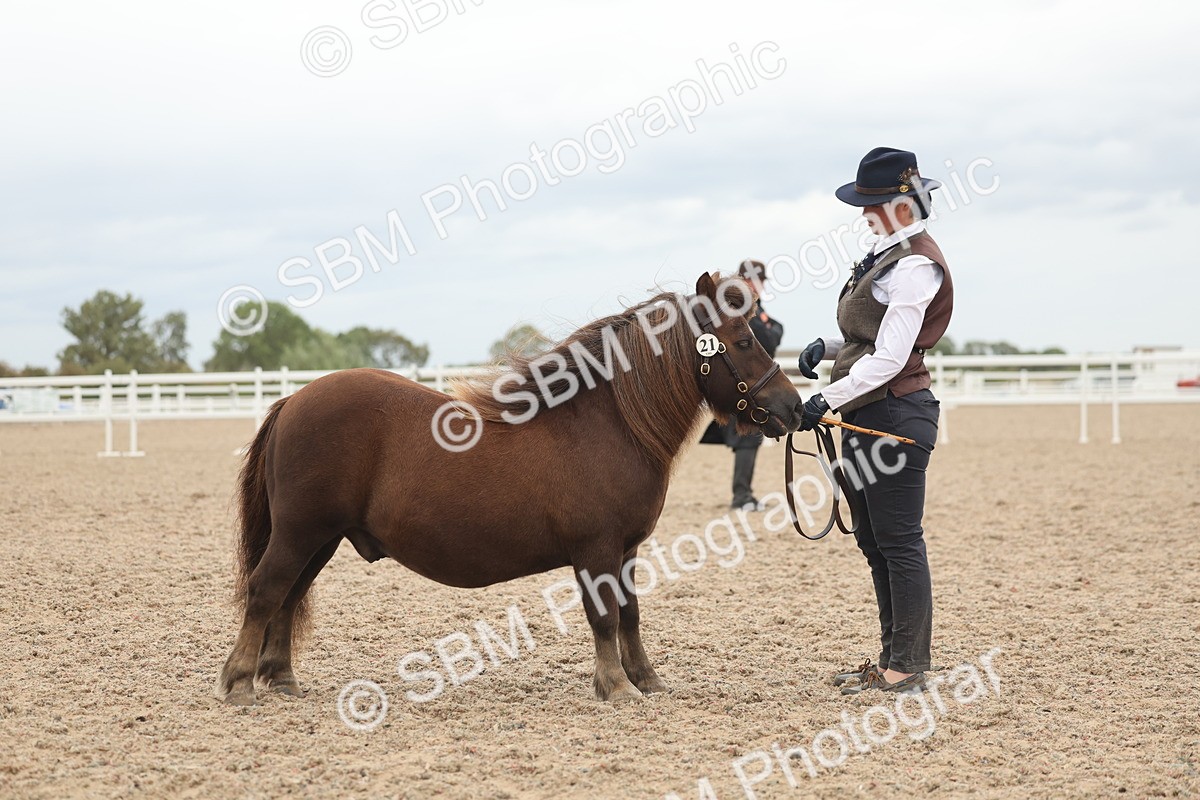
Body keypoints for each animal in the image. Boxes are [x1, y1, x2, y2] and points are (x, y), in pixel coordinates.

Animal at [216, 272, 803, 705]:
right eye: (744, 340)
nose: (794, 407)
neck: (604, 422)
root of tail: (293, 400)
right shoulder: (596, 551)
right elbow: (605, 617)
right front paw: (615, 687)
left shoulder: (627, 551)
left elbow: (631, 614)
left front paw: (647, 680)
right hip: (300, 532)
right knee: (266, 590)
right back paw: (240, 682)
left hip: (320, 539)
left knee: (289, 597)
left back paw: (282, 679)